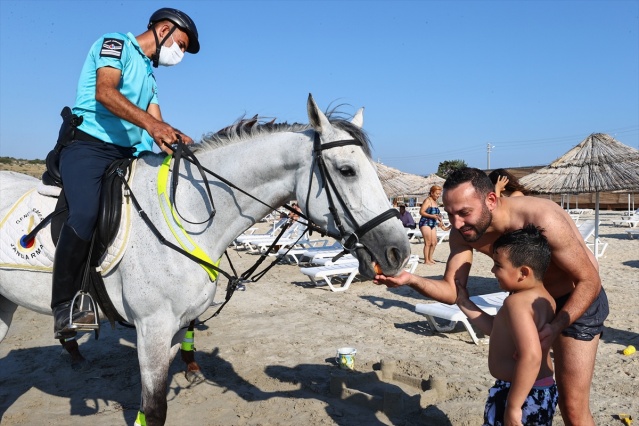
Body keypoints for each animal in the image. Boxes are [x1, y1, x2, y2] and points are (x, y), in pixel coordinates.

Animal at [0, 95, 410, 424]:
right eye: (347, 170)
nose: (399, 253)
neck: (187, 212)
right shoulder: (152, 329)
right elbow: (154, 410)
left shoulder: (172, 329)